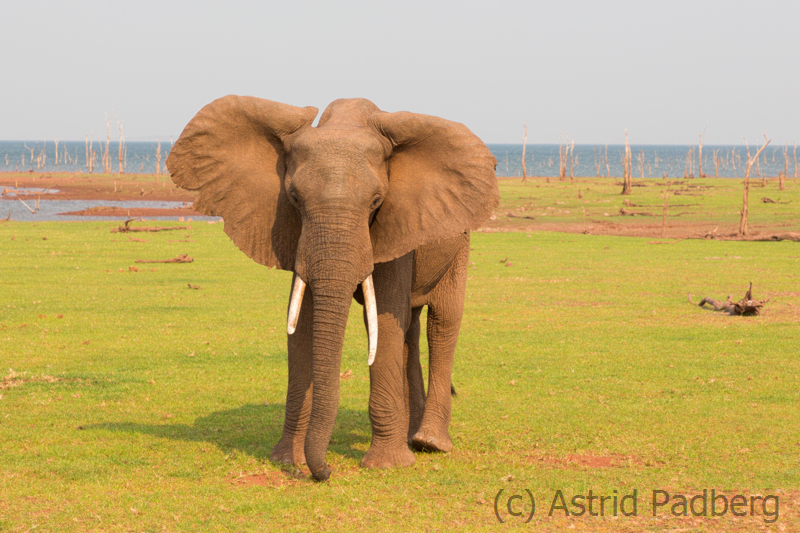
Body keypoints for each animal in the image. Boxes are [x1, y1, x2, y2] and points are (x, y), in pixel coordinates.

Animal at [166, 93, 496, 480]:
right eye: (294, 198)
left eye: (376, 201)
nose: (324, 471)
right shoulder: (298, 237)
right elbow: (304, 324)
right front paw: (286, 461)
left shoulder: (395, 224)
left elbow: (383, 321)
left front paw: (385, 465)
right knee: (410, 328)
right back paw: (412, 438)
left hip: (460, 240)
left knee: (442, 321)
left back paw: (430, 443)